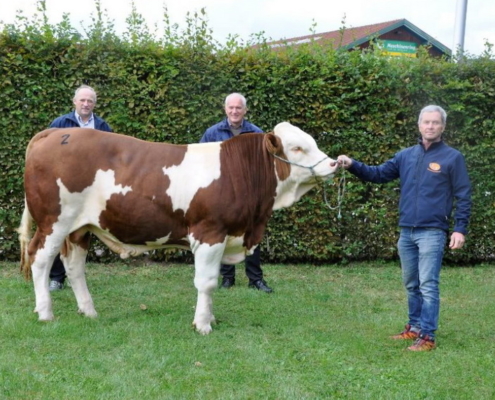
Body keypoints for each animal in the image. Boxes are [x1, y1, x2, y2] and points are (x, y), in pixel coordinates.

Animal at [17, 122, 340, 334]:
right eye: (297, 148)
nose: (335, 163)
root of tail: (54, 132)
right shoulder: (210, 233)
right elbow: (206, 282)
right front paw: (203, 325)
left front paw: (210, 318)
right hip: (53, 222)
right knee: (41, 260)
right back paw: (45, 313)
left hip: (80, 228)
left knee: (74, 266)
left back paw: (89, 311)